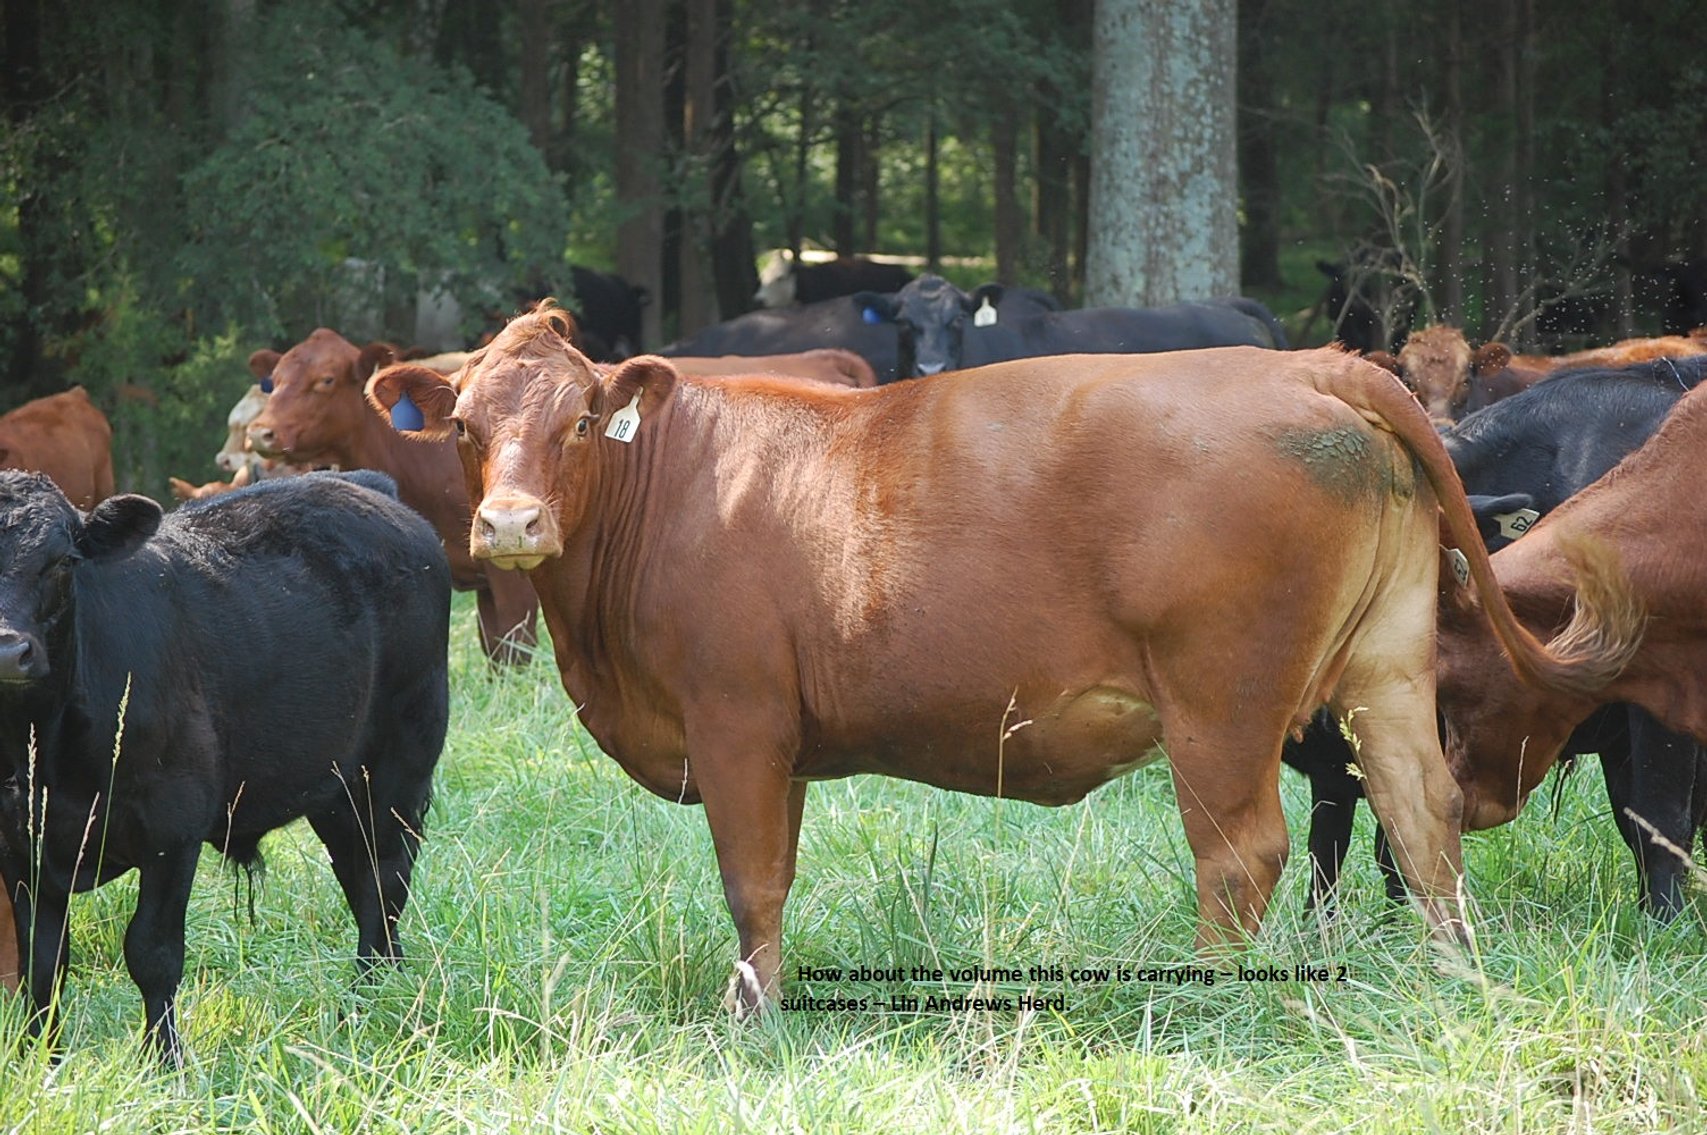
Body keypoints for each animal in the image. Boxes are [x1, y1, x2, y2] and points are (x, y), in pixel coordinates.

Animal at [0, 469, 450, 1061]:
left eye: (63, 561)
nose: (9, 651)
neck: (42, 748)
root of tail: (359, 483)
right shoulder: (19, 847)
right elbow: (43, 963)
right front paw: (39, 1060)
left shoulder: (172, 827)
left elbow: (151, 952)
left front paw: (163, 1062)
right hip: (336, 790)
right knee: (360, 879)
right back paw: (380, 993)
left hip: (400, 769)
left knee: (385, 882)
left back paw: (366, 1005)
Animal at [369, 303, 1622, 1014]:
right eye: (466, 427)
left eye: (580, 420)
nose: (512, 525)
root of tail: (1315, 364)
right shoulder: (780, 745)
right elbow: (774, 876)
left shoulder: (737, 720)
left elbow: (750, 879)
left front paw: (748, 1018)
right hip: (1388, 669)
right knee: (1424, 819)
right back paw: (1452, 978)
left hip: (1220, 699)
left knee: (1243, 854)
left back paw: (1210, 1001)